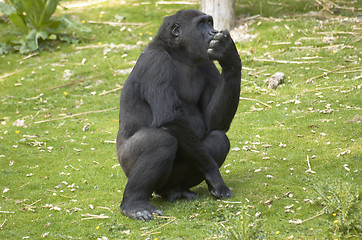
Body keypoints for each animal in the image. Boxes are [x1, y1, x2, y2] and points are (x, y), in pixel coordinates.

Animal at [116, 8, 240, 219]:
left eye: (210, 22)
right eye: (201, 24)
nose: (213, 32)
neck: (178, 53)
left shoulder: (206, 62)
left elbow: (214, 123)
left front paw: (230, 57)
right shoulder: (156, 62)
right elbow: (170, 119)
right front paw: (214, 175)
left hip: (168, 182)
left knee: (218, 140)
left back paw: (176, 190)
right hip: (126, 165)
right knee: (160, 140)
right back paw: (134, 203)